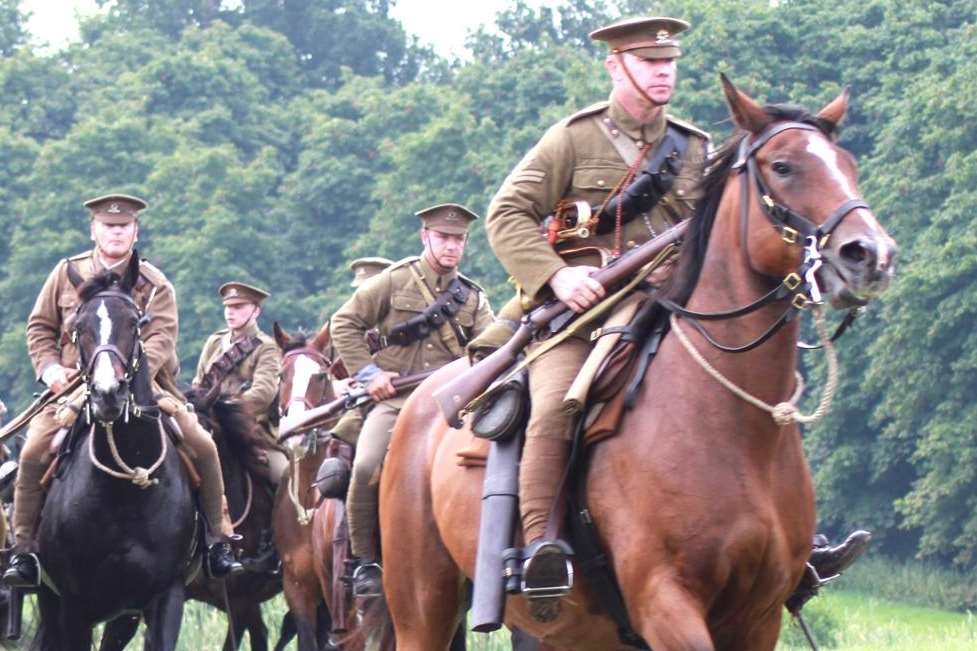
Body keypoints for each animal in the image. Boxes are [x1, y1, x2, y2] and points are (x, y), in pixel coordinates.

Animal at [378, 77, 896, 651]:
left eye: (848, 164)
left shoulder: (757, 617)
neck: (734, 428)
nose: (871, 256)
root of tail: (425, 401)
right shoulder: (666, 603)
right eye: (783, 166)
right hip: (421, 610)